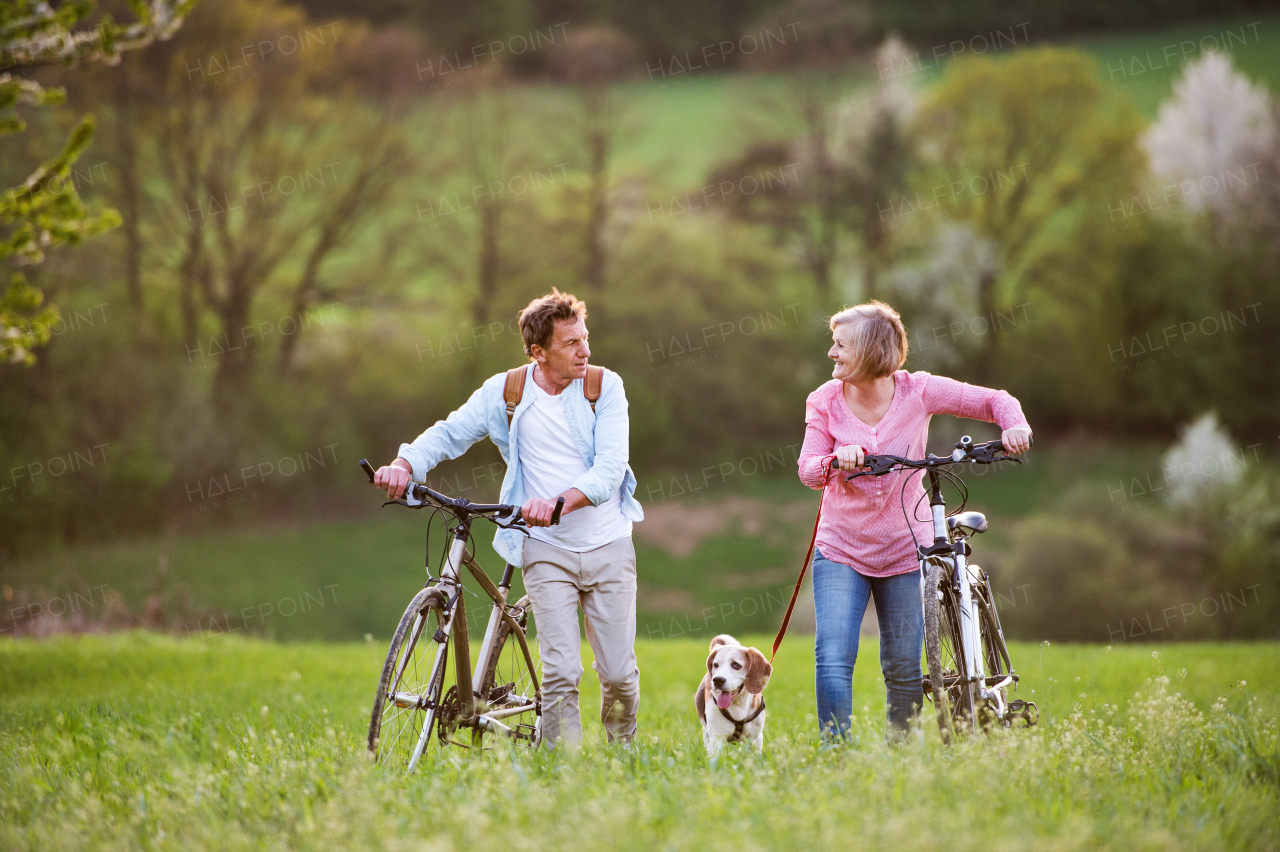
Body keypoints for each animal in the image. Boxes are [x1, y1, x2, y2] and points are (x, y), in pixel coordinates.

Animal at [701, 629, 768, 757]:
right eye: (715, 665)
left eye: (736, 665)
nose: (717, 680)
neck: (738, 705)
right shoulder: (716, 737)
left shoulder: (755, 738)